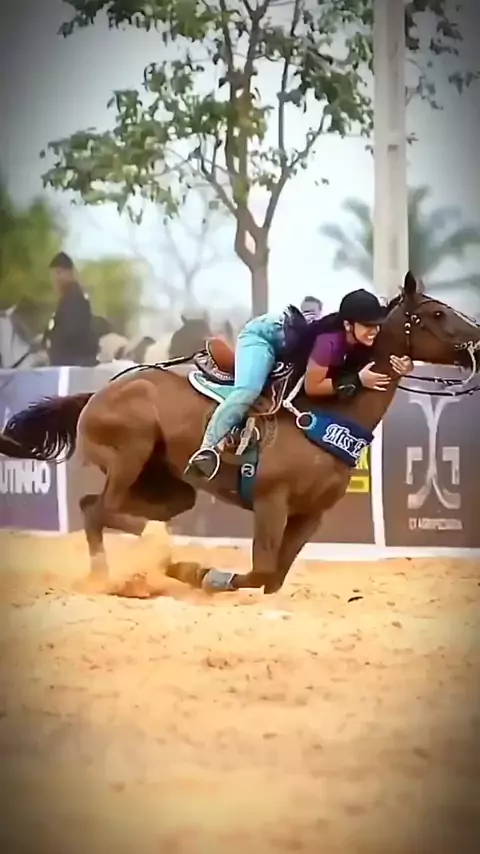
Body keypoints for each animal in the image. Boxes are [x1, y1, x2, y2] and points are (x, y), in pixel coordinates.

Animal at [1, 272, 479, 595]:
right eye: (436, 312)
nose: (477, 337)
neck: (324, 414)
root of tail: (97, 393)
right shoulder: (271, 502)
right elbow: (262, 571)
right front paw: (200, 573)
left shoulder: (310, 515)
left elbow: (275, 578)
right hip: (129, 456)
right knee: (107, 509)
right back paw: (158, 559)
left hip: (171, 488)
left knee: (92, 508)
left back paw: (108, 576)